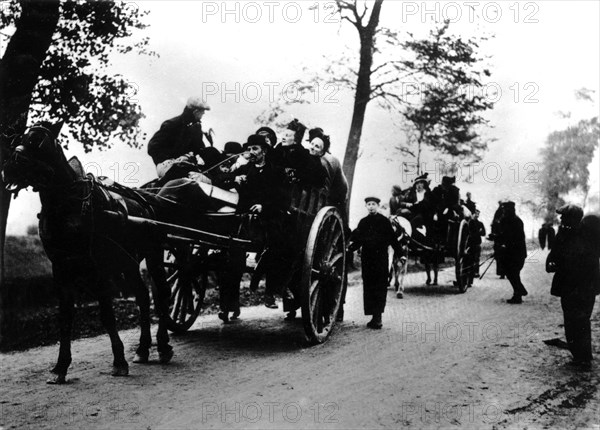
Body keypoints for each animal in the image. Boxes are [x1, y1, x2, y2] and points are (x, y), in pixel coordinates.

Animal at [2, 124, 175, 382]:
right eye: (17, 140)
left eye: (39, 140)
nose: (10, 167)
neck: (68, 206)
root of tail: (145, 200)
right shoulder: (60, 269)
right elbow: (65, 318)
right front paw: (60, 367)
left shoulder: (98, 268)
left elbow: (107, 315)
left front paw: (119, 361)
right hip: (129, 262)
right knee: (143, 297)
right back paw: (143, 349)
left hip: (153, 255)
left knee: (162, 294)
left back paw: (163, 346)